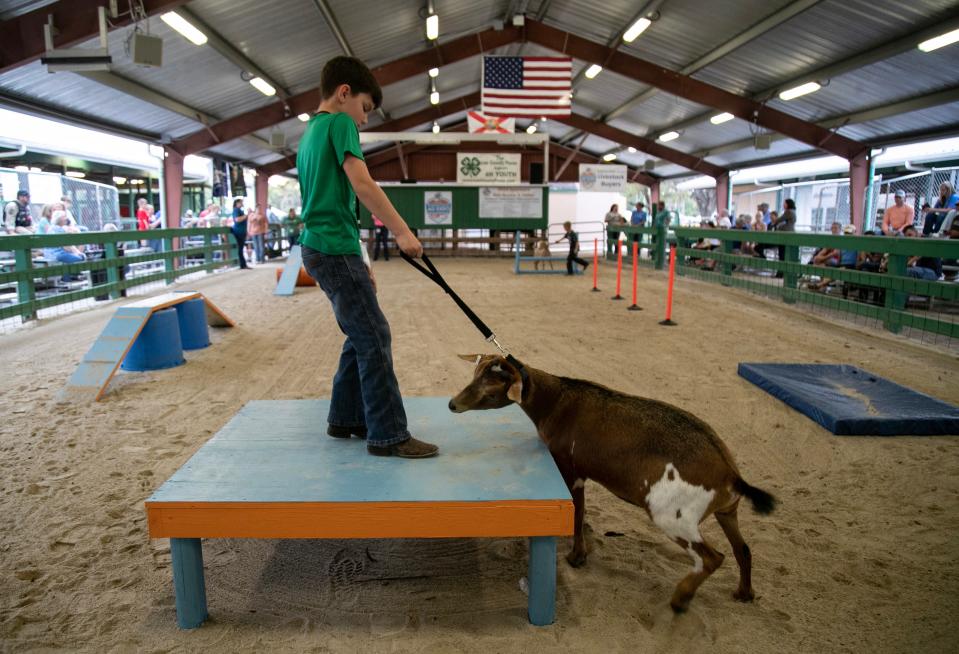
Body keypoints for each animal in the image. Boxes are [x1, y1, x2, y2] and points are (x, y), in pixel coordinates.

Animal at [446, 356, 776, 612]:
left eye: (491, 389)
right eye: (475, 374)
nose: (452, 404)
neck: (556, 402)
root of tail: (730, 473)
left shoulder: (571, 469)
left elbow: (578, 513)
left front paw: (577, 556)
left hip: (673, 515)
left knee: (712, 557)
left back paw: (681, 599)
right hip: (726, 511)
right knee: (743, 549)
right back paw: (744, 593)